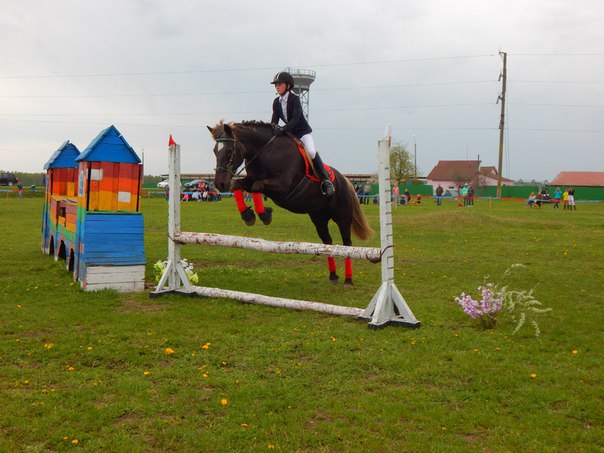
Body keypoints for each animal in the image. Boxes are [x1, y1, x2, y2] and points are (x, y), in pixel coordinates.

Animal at [207, 120, 375, 285]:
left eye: (229, 151)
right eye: (215, 151)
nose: (220, 184)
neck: (265, 152)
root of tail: (346, 181)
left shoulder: (283, 186)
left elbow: (257, 187)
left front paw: (264, 214)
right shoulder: (252, 180)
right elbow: (238, 185)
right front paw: (248, 215)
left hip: (342, 218)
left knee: (347, 244)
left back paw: (348, 280)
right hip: (319, 218)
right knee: (327, 243)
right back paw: (333, 276)